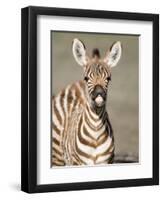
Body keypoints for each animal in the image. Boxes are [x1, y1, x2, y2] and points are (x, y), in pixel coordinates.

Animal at [51, 38, 121, 166]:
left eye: (108, 78)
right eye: (86, 78)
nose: (99, 94)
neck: (96, 132)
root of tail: (75, 84)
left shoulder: (106, 162)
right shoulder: (77, 162)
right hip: (57, 157)